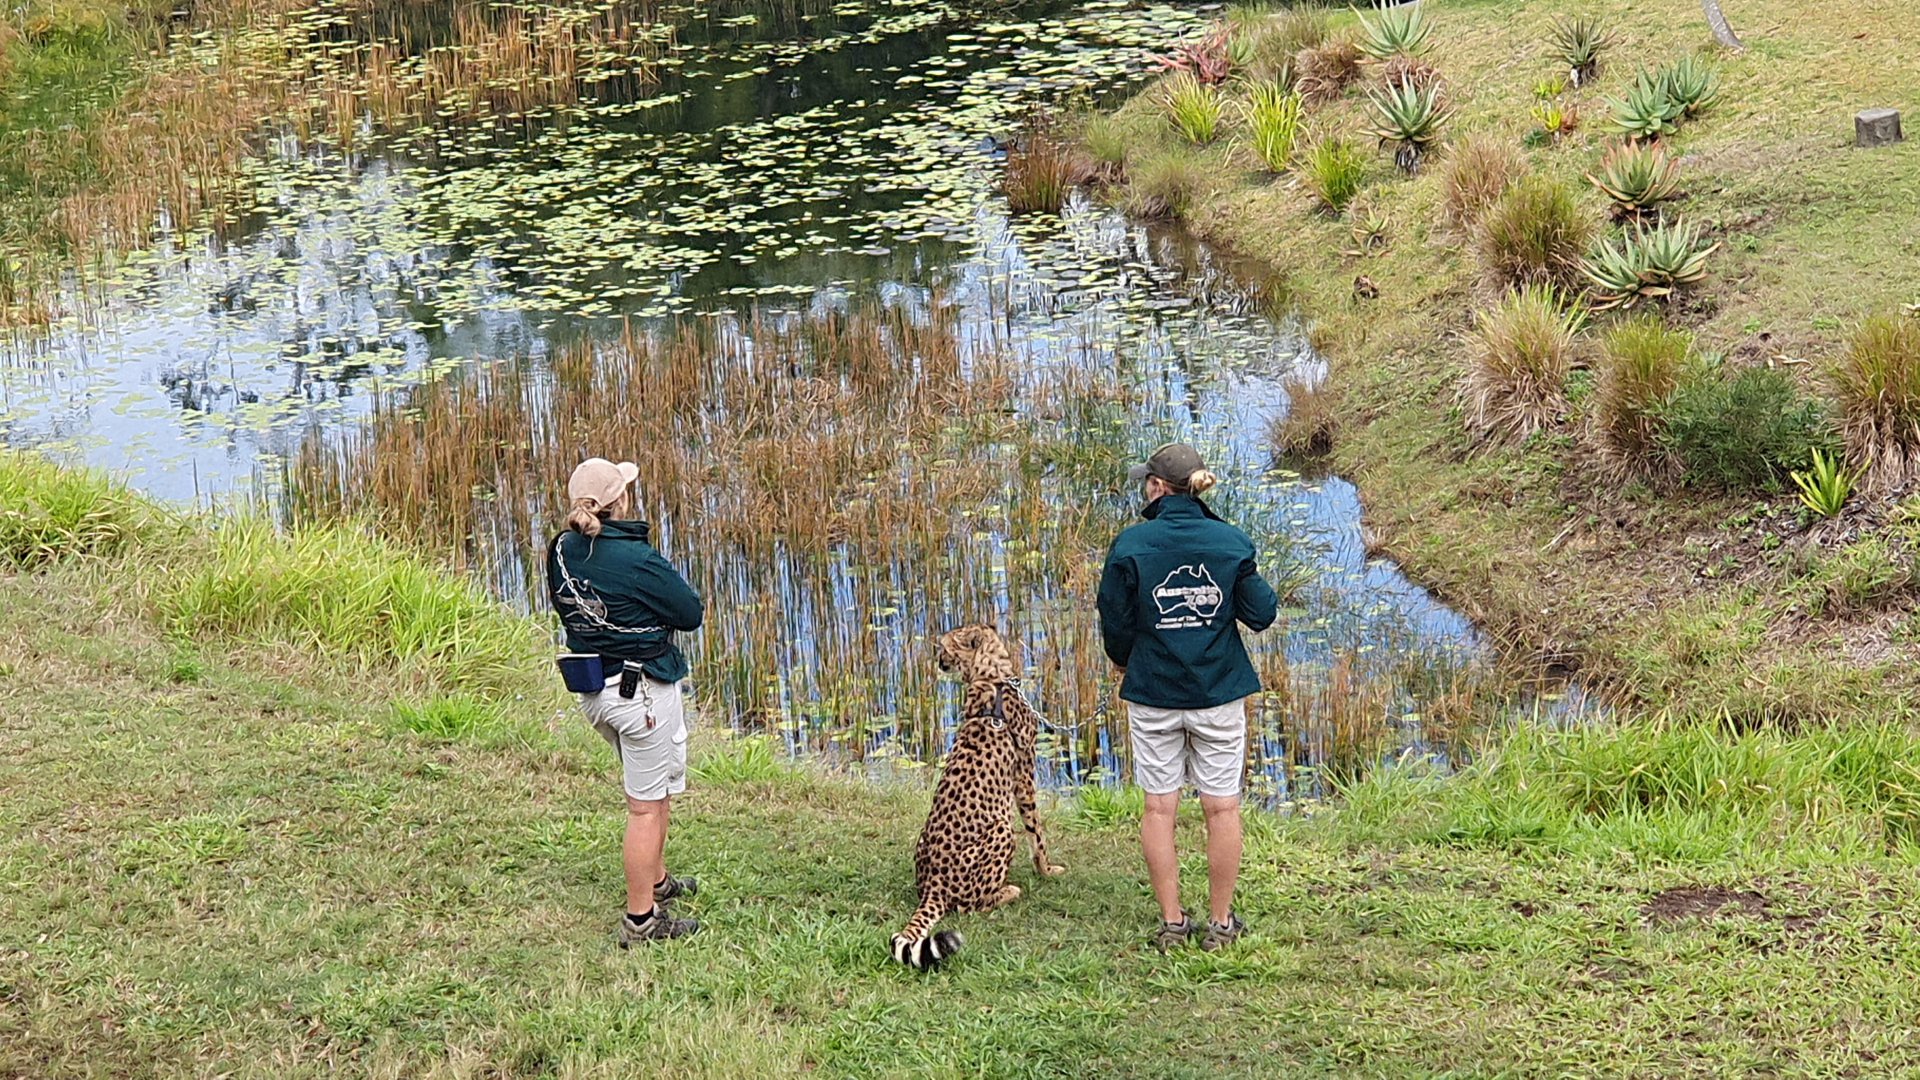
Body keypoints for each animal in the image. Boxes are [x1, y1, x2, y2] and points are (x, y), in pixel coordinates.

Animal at [890, 623, 1065, 971]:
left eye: (944, 646)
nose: (939, 660)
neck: (991, 676)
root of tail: (933, 883)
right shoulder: (1024, 774)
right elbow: (1036, 832)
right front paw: (1047, 869)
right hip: (1001, 829)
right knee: (968, 905)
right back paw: (1008, 891)